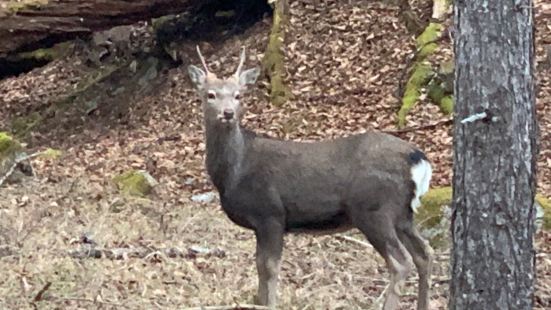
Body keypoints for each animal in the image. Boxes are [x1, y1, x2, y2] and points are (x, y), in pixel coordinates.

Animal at [190, 46, 436, 310]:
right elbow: (259, 266)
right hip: (403, 214)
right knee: (424, 253)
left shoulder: (271, 214)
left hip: (374, 209)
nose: (228, 113)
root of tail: (417, 158)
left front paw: (270, 303)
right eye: (210, 94)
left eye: (238, 95)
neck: (235, 170)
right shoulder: (262, 223)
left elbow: (269, 268)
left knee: (401, 262)